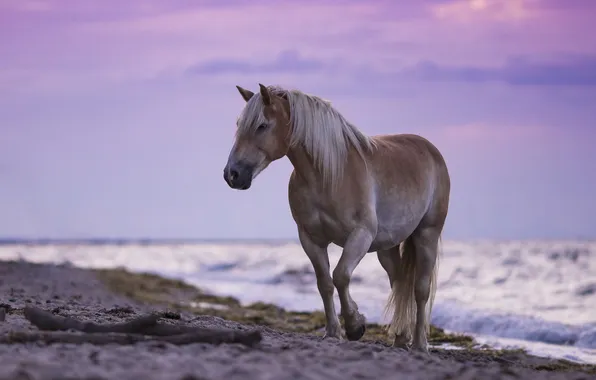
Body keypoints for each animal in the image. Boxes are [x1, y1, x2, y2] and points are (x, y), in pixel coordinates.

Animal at [224, 84, 452, 354]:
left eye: (261, 125)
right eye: (239, 124)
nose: (232, 174)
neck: (329, 175)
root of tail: (431, 151)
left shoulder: (361, 235)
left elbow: (341, 274)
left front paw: (355, 326)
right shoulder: (310, 239)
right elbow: (325, 282)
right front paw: (333, 332)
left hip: (427, 234)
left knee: (420, 288)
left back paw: (419, 344)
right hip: (387, 247)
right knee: (399, 282)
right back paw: (400, 337)